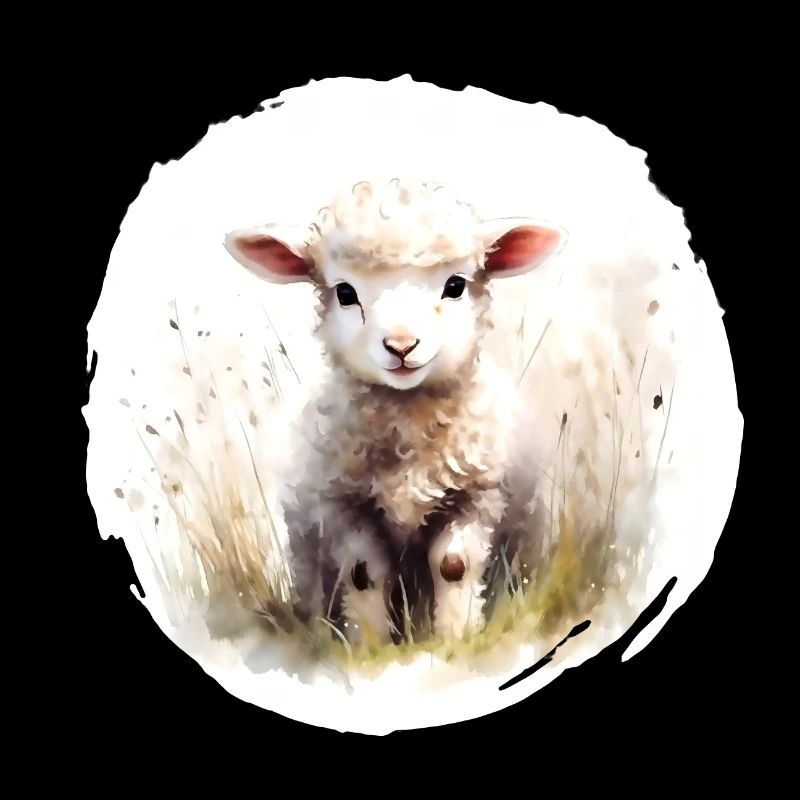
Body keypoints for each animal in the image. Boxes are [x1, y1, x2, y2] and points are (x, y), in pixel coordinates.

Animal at [223, 178, 568, 644]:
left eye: (455, 285)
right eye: (345, 292)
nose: (401, 346)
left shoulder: (478, 494)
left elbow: (454, 566)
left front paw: (454, 638)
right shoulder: (342, 503)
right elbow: (363, 572)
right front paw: (372, 646)